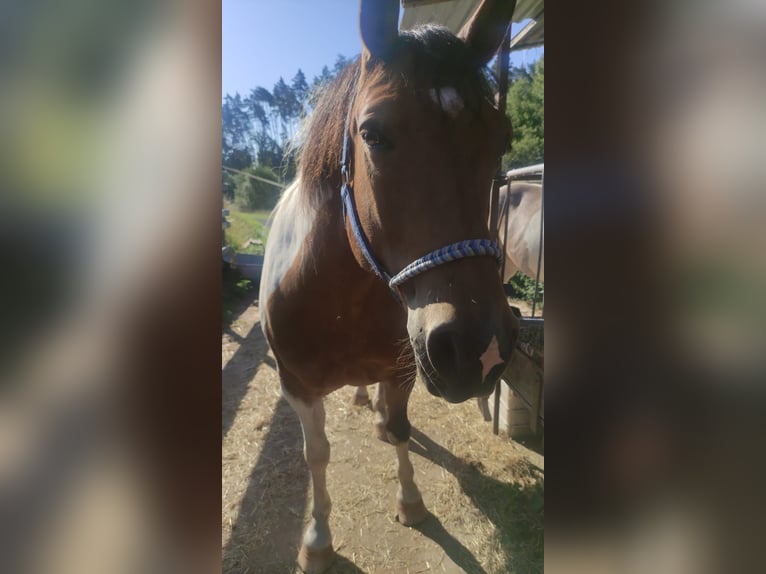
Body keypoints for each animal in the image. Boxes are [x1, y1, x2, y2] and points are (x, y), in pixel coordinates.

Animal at [259, 1, 518, 571]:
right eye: (373, 133)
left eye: (503, 137)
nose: (478, 349)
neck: (340, 300)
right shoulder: (296, 386)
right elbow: (317, 454)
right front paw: (317, 540)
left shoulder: (404, 368)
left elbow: (400, 430)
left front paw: (411, 501)